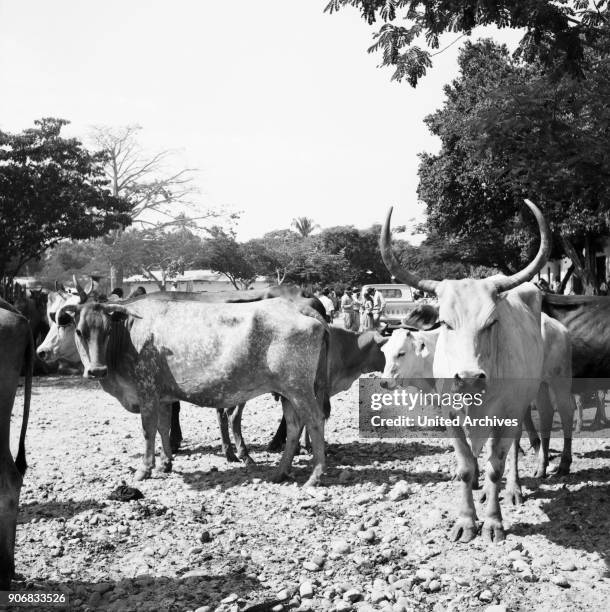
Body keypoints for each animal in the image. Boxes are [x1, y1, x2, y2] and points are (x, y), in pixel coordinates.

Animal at [57, 296, 330, 488]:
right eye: (80, 331)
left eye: (107, 331)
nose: (96, 370)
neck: (127, 337)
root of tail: (296, 305)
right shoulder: (163, 396)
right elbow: (164, 428)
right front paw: (166, 463)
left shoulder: (147, 392)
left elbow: (148, 431)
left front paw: (145, 469)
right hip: (287, 391)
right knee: (294, 426)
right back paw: (279, 473)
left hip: (299, 387)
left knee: (315, 420)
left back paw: (315, 476)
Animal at [378, 200, 548, 540]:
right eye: (445, 322)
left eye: (492, 322)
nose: (468, 378)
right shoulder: (450, 415)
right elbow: (466, 466)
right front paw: (467, 520)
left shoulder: (508, 413)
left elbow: (497, 465)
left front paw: (493, 521)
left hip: (521, 404)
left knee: (513, 448)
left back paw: (513, 489)